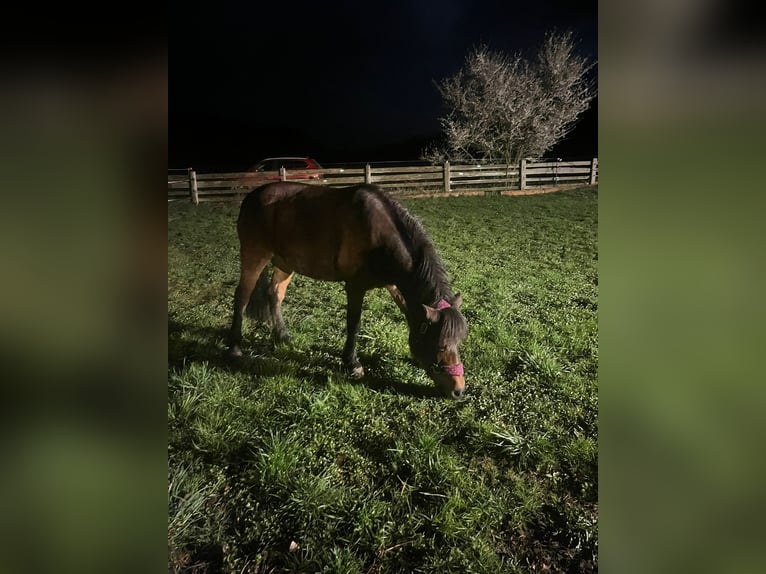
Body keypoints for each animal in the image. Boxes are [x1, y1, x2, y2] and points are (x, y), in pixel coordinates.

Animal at [225, 182, 472, 398]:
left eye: (459, 342)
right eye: (441, 345)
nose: (459, 391)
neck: (380, 234)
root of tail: (252, 196)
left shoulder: (393, 284)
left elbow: (410, 313)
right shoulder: (355, 286)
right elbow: (354, 323)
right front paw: (352, 363)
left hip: (285, 263)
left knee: (274, 293)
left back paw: (282, 336)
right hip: (255, 255)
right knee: (242, 296)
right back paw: (235, 347)